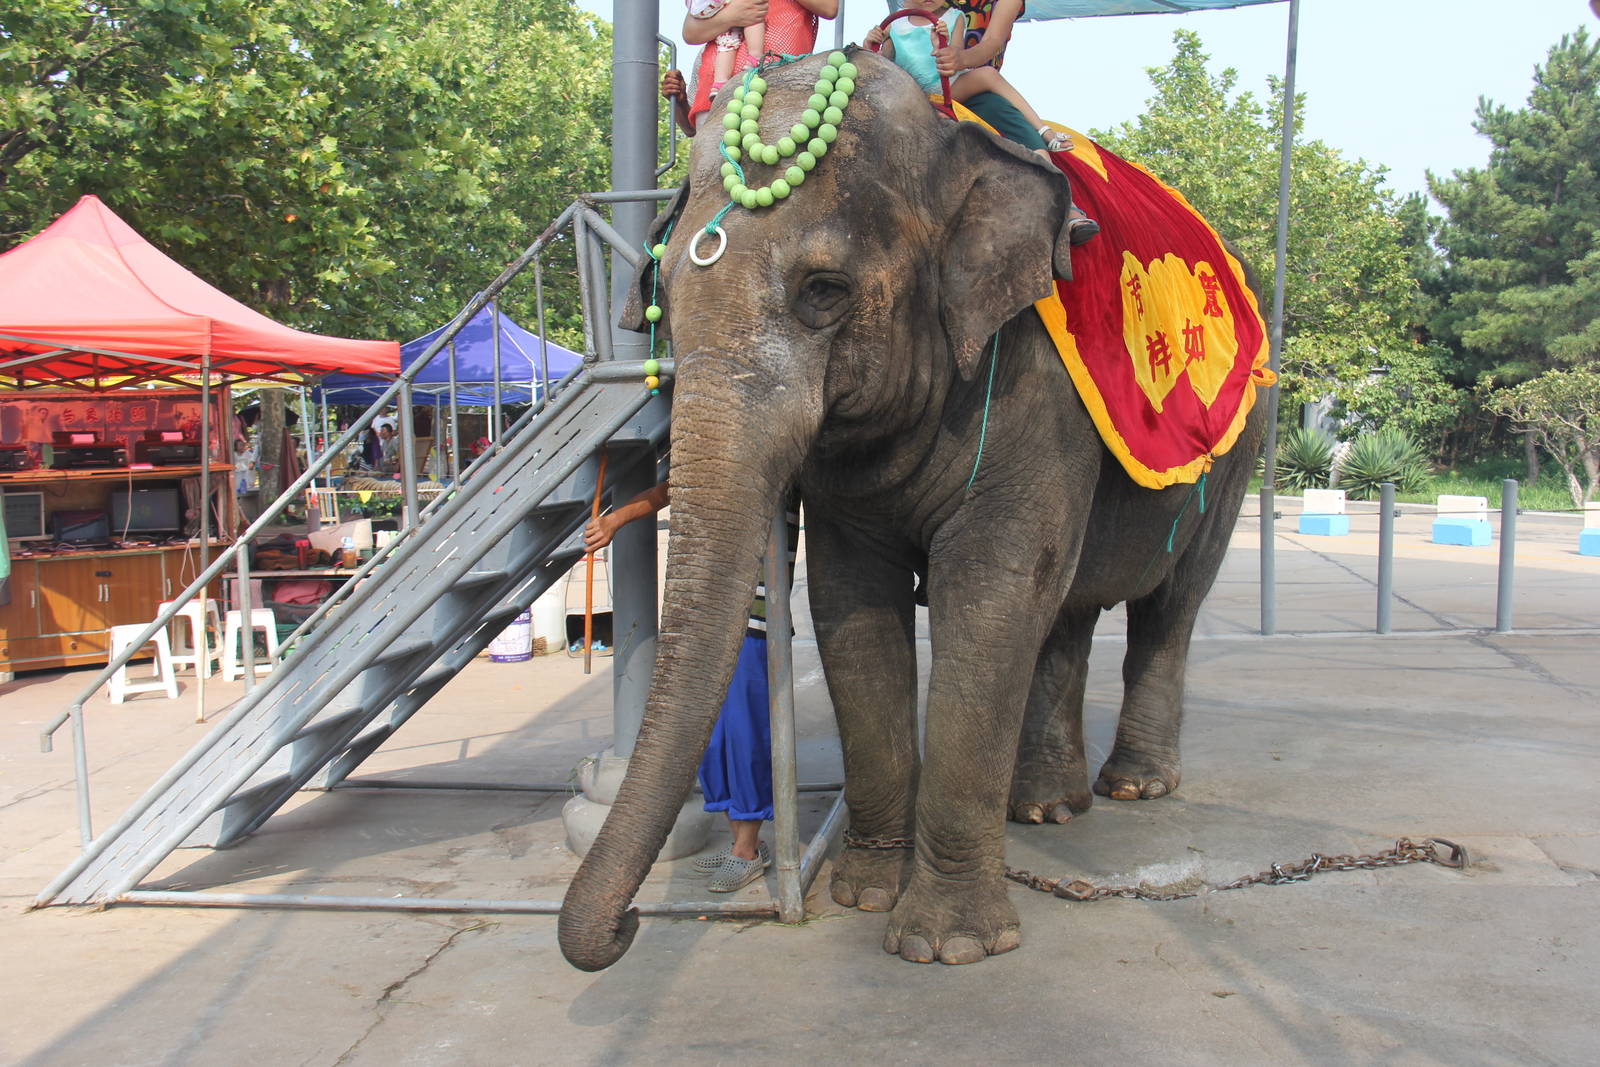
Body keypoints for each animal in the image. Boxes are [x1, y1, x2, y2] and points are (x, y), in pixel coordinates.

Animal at [558, 48, 1265, 970]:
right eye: (662, 298)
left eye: (824, 290)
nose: (627, 925)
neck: (945, 137)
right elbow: (854, 604)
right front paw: (864, 896)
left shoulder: (1035, 386)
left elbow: (992, 591)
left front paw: (946, 945)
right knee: (1067, 612)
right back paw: (1046, 805)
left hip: (1243, 443)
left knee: (1169, 603)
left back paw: (1135, 786)